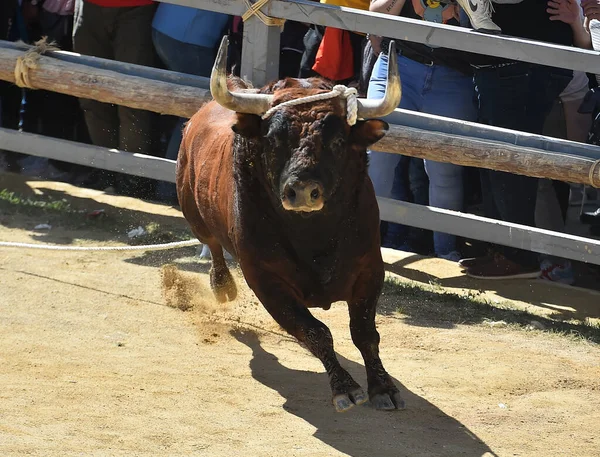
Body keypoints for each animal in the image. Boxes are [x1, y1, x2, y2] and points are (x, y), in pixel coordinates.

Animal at [177, 37, 404, 412]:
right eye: (273, 140)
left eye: (338, 140)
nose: (302, 190)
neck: (314, 235)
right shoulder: (266, 281)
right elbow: (316, 332)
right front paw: (345, 388)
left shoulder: (370, 267)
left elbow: (364, 333)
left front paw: (383, 387)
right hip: (193, 213)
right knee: (212, 244)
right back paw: (222, 285)